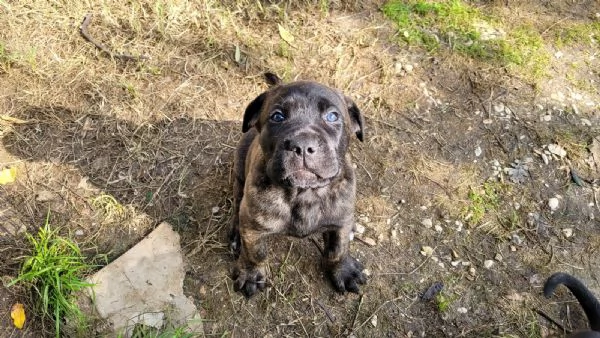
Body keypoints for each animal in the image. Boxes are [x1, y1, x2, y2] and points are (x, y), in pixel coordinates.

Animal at [227, 72, 366, 298]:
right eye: (277, 117)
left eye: (333, 116)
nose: (302, 144)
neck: (304, 193)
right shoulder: (253, 225)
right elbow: (255, 252)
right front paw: (251, 274)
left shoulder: (341, 220)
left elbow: (338, 249)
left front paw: (343, 270)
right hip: (239, 171)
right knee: (237, 202)